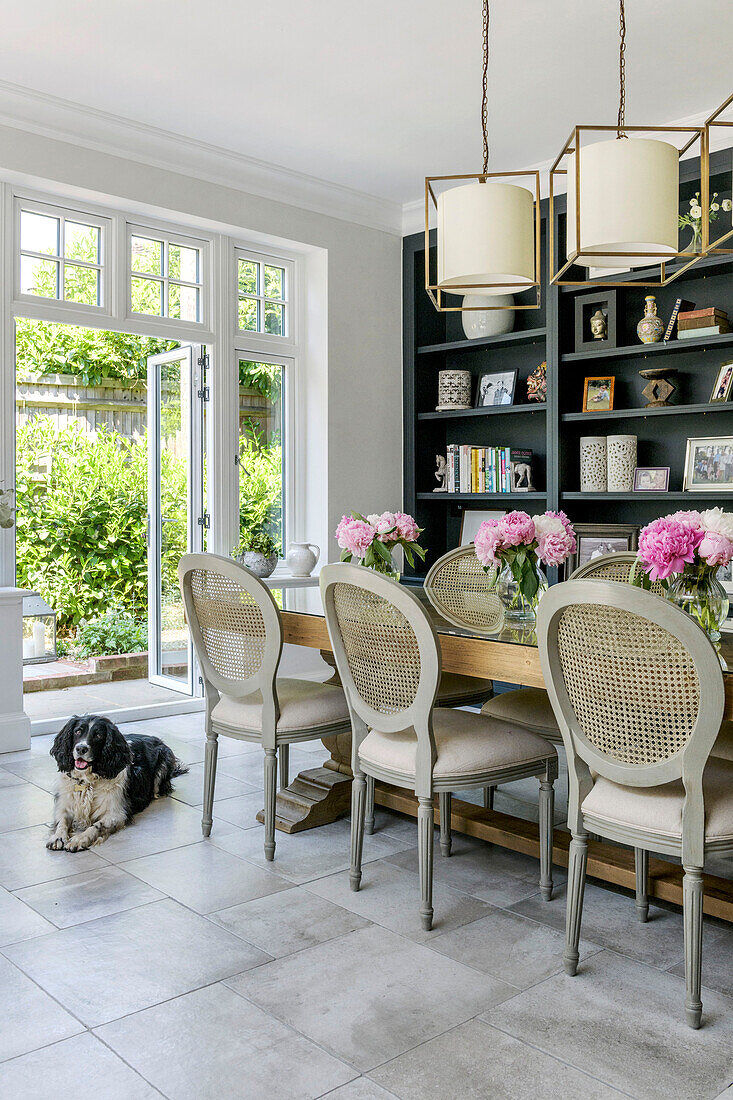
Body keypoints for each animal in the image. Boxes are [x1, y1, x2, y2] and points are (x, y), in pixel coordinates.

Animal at [45, 712, 187, 849]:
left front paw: (80, 839)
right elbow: (62, 821)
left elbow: (97, 826)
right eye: (77, 731)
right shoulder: (65, 803)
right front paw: (58, 837)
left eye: (98, 735)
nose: (81, 748)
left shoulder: (117, 814)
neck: (87, 781)